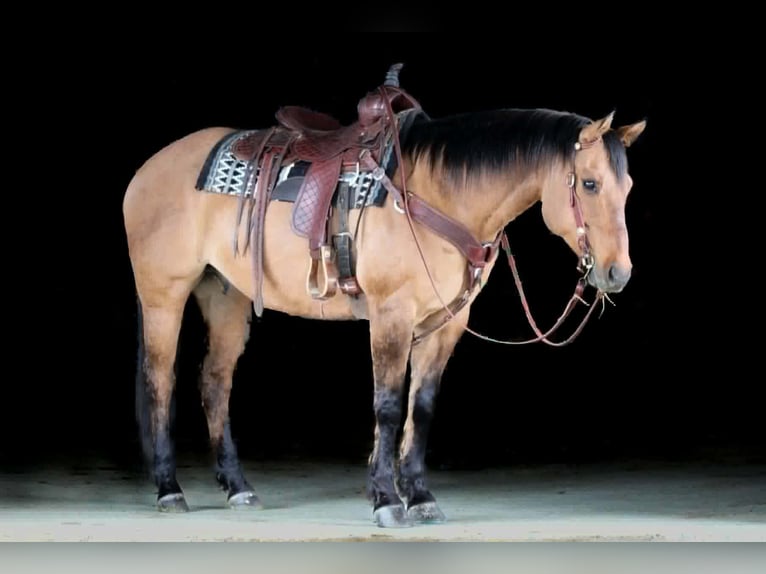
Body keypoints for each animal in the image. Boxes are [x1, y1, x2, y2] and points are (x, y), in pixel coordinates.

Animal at [122, 64, 646, 528]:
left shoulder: (446, 323)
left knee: (214, 383)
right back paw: (169, 489)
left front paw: (420, 496)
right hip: (164, 296)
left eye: (627, 186)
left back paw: (238, 487)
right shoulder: (391, 315)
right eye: (590, 183)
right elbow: (389, 404)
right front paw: (386, 499)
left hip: (226, 297)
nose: (617, 273)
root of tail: (148, 170)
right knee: (160, 383)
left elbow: (423, 406)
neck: (438, 194)